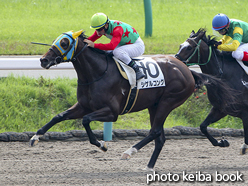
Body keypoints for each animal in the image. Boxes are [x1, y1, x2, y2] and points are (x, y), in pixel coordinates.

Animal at [30, 29, 235, 171]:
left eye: (65, 43)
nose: (43, 60)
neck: (97, 72)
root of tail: (187, 70)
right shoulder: (83, 105)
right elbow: (59, 116)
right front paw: (35, 137)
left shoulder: (112, 113)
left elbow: (86, 120)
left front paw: (102, 145)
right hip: (154, 105)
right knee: (160, 137)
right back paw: (149, 166)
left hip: (168, 101)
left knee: (154, 132)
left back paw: (129, 152)